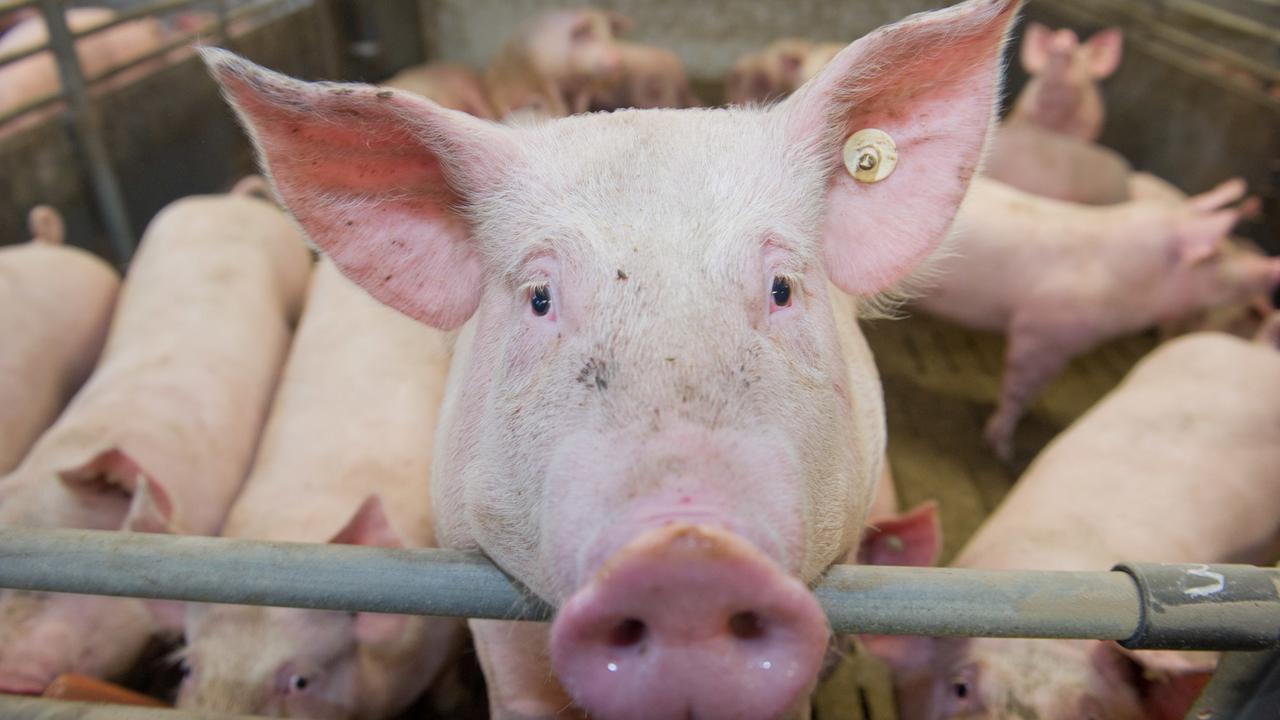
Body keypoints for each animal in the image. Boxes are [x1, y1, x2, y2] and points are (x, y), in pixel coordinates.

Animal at [485, 8, 631, 119]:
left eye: (612, 36)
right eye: (590, 36)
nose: (619, 59)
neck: (573, 76)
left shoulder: (584, 87)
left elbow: (581, 103)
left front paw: (580, 114)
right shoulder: (546, 79)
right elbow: (556, 102)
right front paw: (561, 115)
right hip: (497, 91)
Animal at [913, 176, 1280, 461]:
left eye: (1232, 246)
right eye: (1219, 258)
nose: (1273, 266)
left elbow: (1034, 389)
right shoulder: (1040, 332)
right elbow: (1017, 388)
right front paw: (1003, 450)